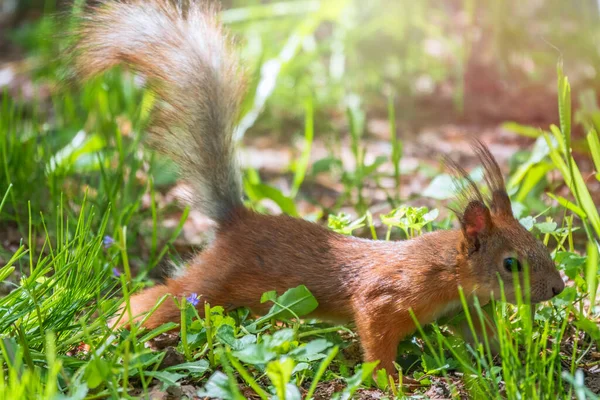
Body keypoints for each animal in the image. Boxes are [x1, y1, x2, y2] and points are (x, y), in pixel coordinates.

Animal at [72, 0, 564, 376]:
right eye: (511, 265)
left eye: (538, 243)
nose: (559, 289)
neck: (449, 271)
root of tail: (237, 221)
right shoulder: (387, 298)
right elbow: (376, 338)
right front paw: (391, 380)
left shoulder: (464, 311)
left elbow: (484, 339)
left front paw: (520, 360)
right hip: (211, 284)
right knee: (156, 302)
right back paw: (100, 336)